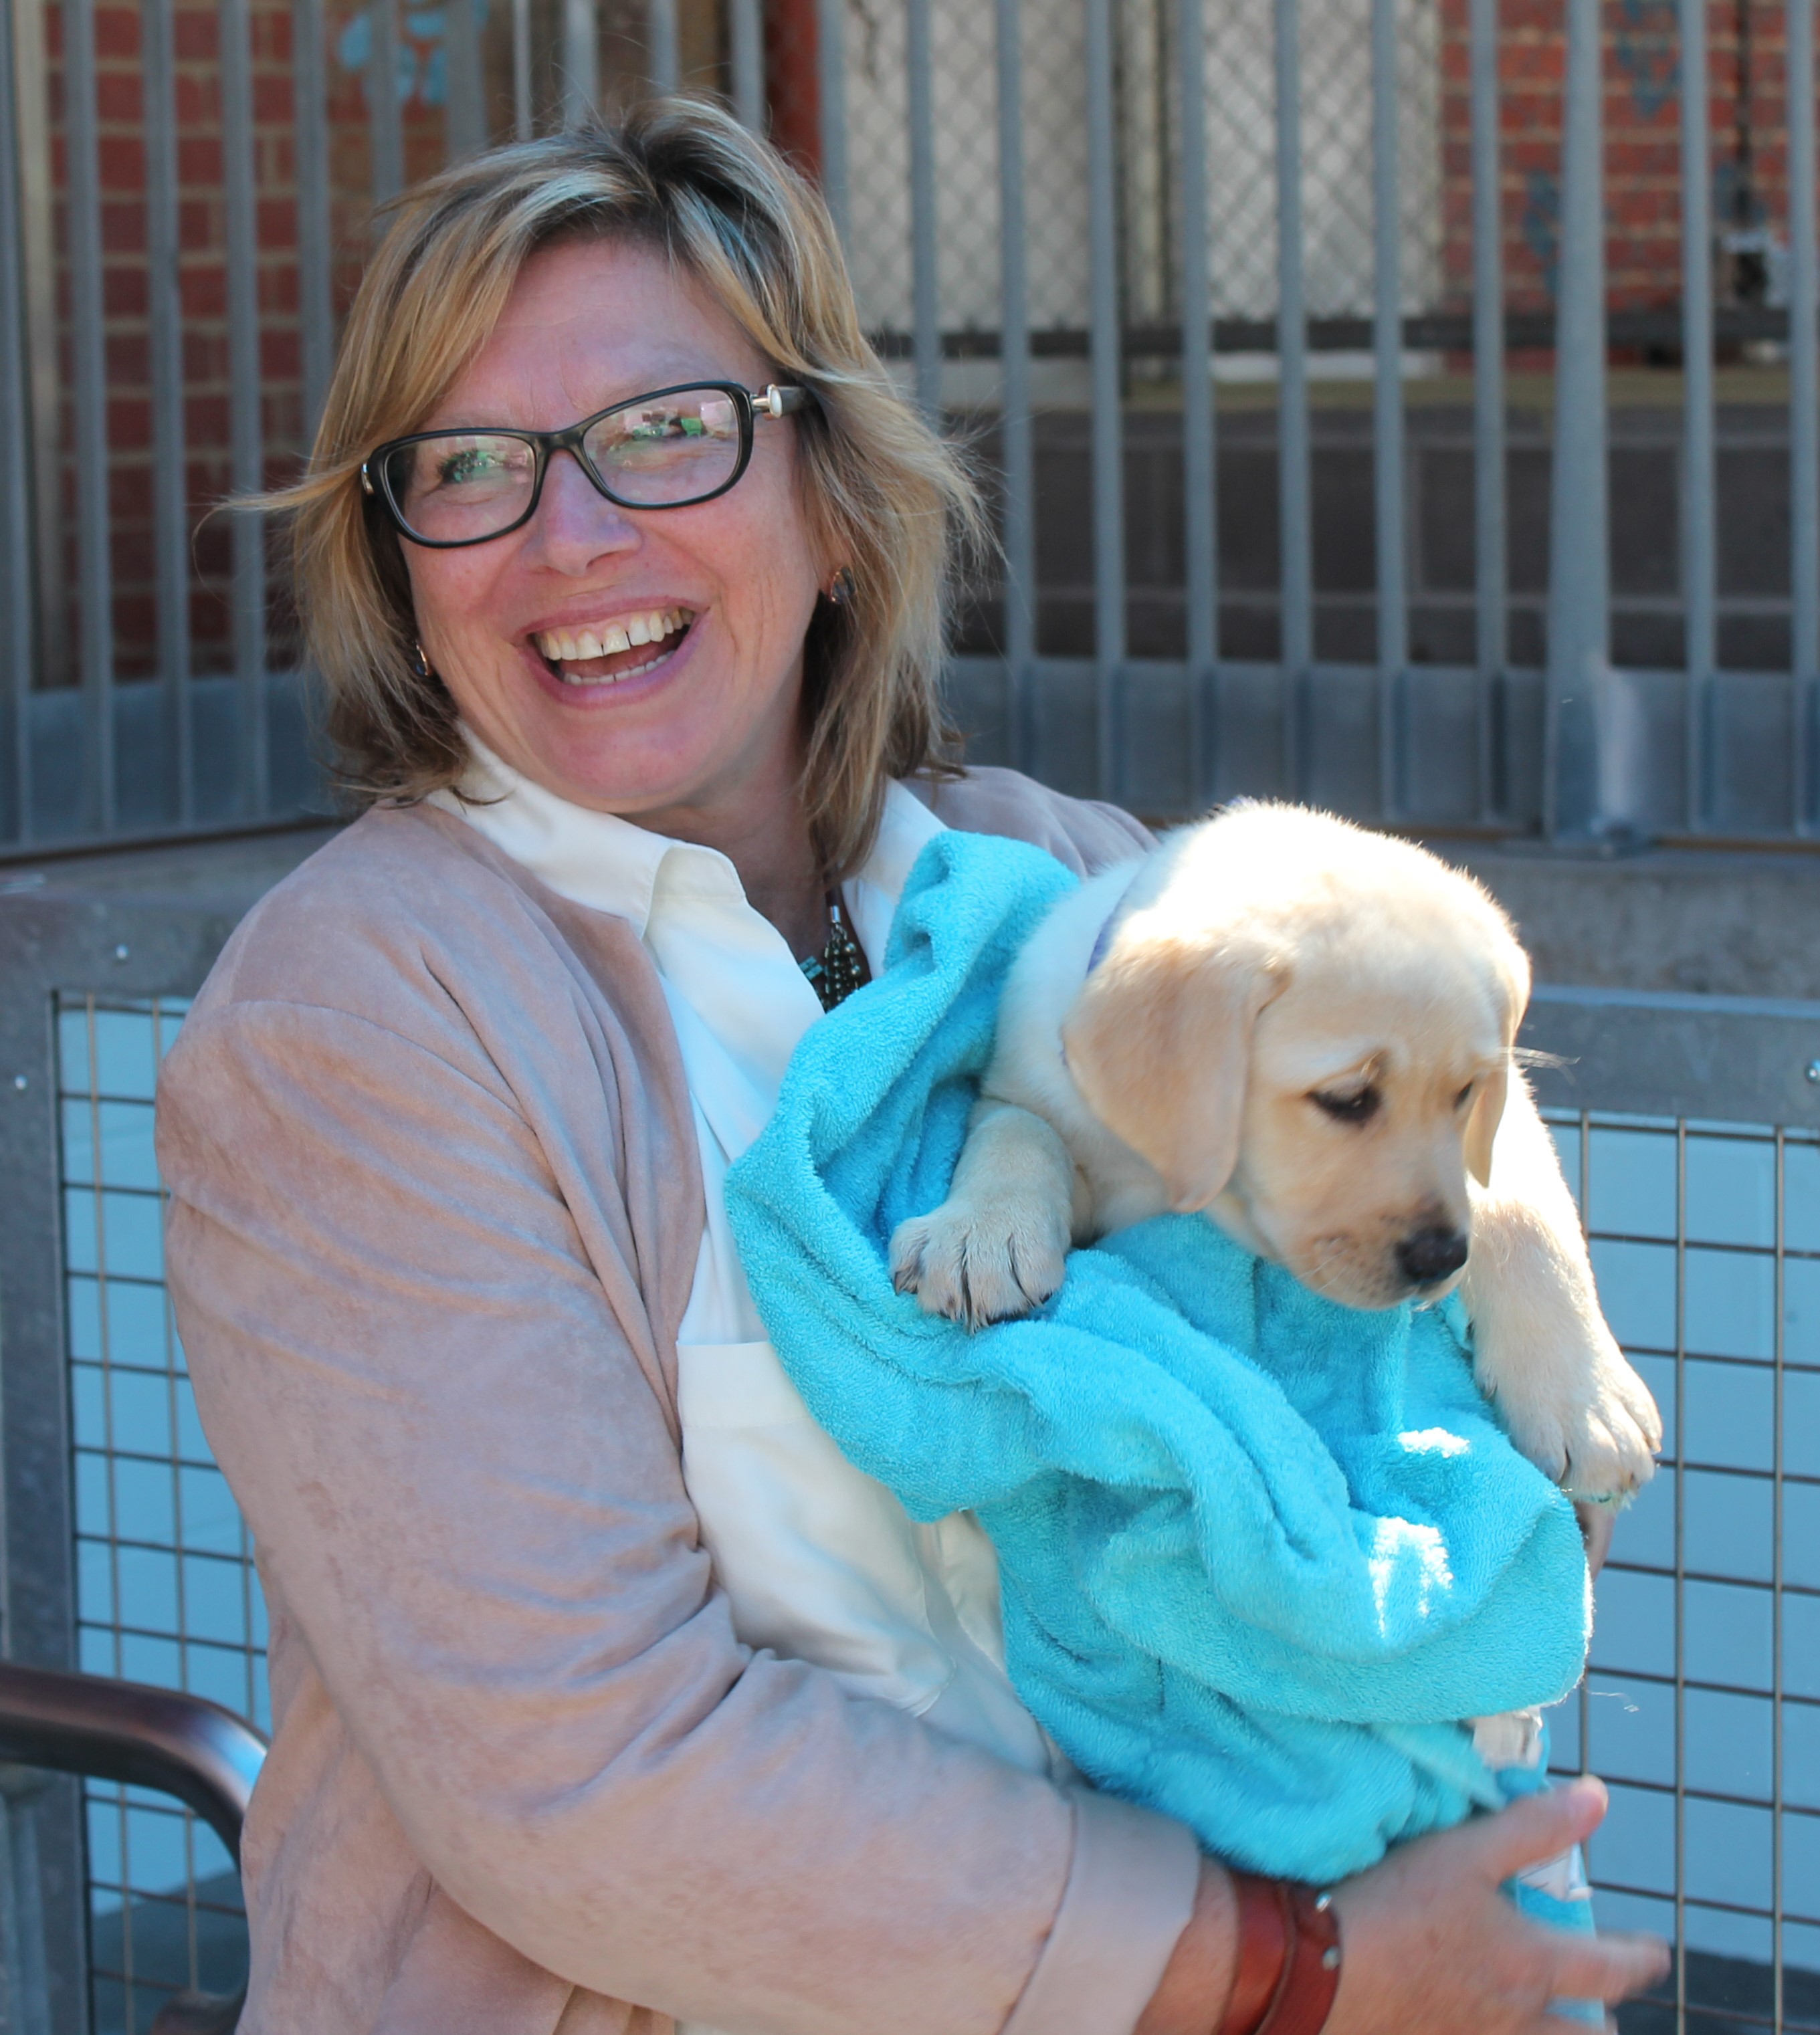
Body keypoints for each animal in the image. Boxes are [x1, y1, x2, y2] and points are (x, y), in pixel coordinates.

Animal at [896, 801, 1669, 1505]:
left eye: (1466, 1093)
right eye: (1346, 1098)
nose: (1442, 1258)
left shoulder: (1502, 1132)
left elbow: (1522, 1217)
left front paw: (1587, 1401)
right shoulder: (1026, 1093)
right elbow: (1017, 1130)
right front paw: (980, 1235)